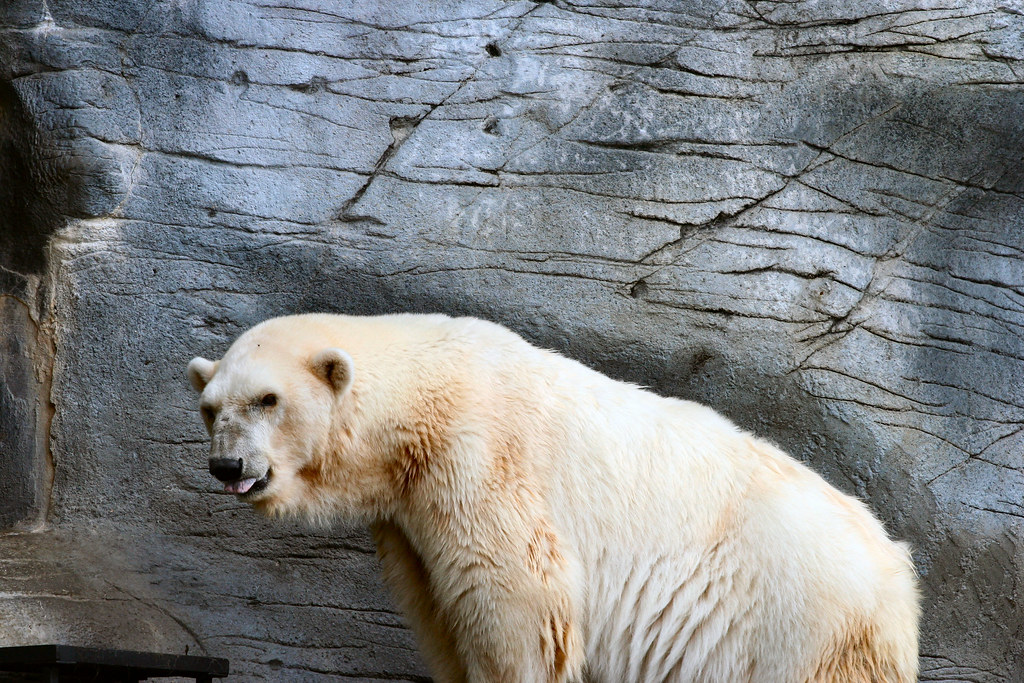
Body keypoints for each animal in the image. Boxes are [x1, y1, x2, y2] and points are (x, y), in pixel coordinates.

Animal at [187, 312, 920, 682]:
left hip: (797, 626)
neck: (426, 389)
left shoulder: (477, 461)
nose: (228, 465)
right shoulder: (410, 513)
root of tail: (897, 570)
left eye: (268, 399)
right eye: (210, 406)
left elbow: (513, 600)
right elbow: (439, 609)